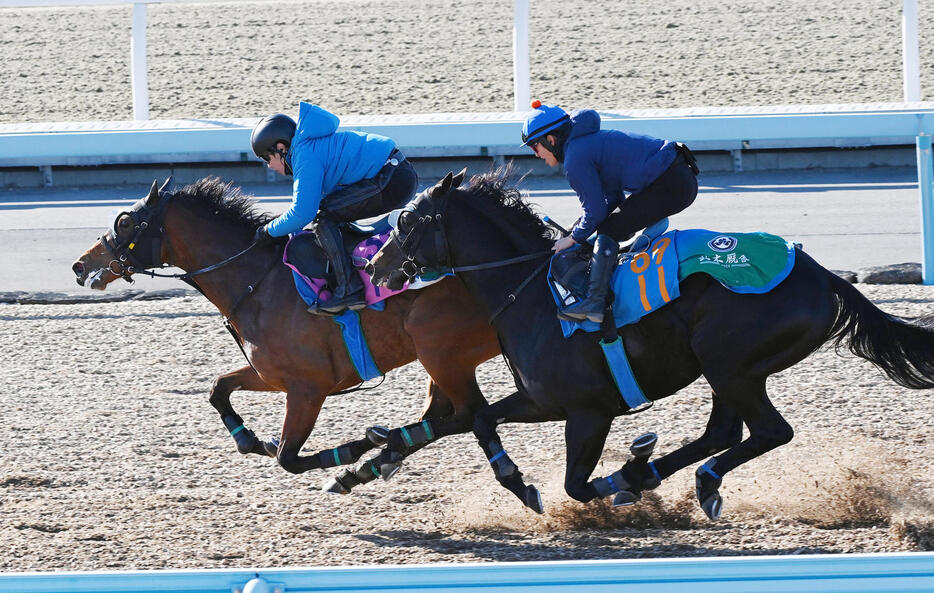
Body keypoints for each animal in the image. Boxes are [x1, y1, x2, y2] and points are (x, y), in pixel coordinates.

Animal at [71, 177, 504, 490]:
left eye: (125, 222)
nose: (79, 265)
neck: (258, 281)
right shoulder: (273, 376)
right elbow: (218, 389)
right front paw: (249, 439)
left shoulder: (308, 388)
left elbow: (288, 458)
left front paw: (355, 449)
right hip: (443, 359)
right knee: (444, 413)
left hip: (442, 352)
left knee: (465, 413)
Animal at [370, 168, 934, 520]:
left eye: (408, 220)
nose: (376, 266)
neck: (531, 292)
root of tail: (823, 275)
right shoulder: (541, 400)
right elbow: (480, 419)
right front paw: (519, 480)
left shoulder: (588, 410)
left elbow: (576, 484)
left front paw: (595, 481)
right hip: (730, 370)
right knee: (723, 432)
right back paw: (670, 473)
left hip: (730, 363)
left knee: (769, 431)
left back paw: (657, 474)